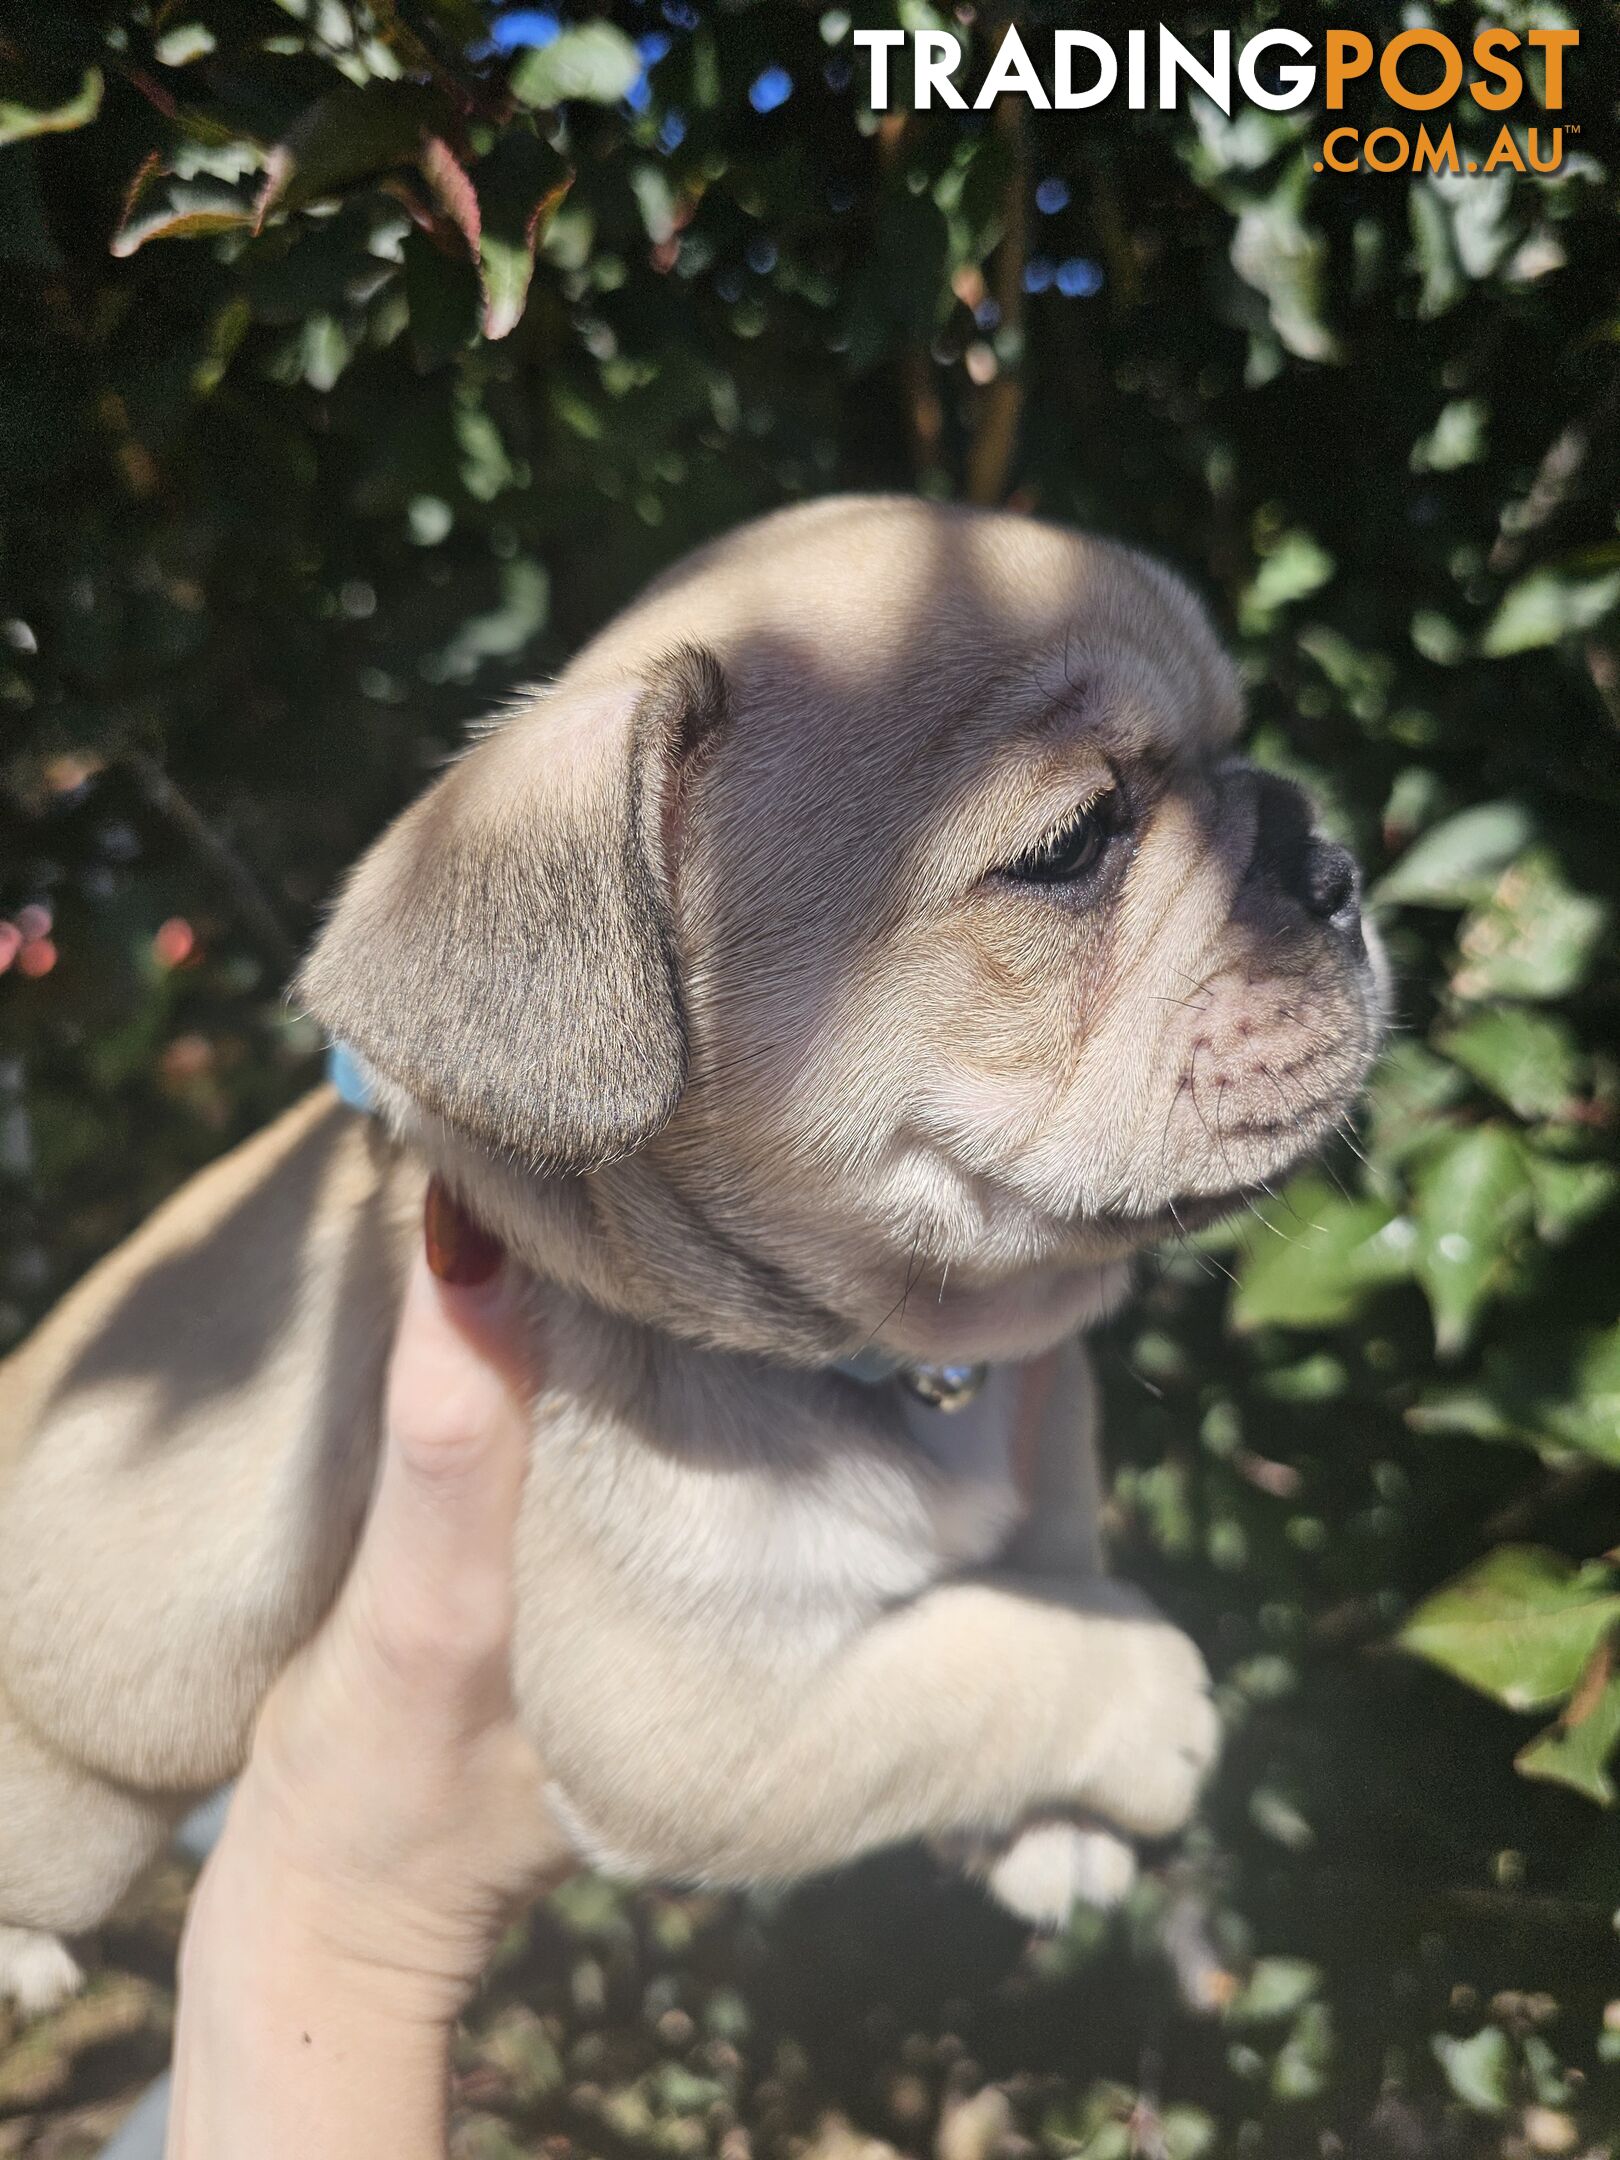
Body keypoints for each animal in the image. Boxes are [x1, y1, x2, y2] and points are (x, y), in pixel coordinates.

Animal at [0, 496, 1382, 2013]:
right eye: (1074, 842)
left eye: (1238, 744)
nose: (1333, 867)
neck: (903, 1349)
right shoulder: (700, 1716)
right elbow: (978, 1665)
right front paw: (1142, 1709)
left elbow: (1039, 1564)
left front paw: (1052, 1832)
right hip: (74, 1802)